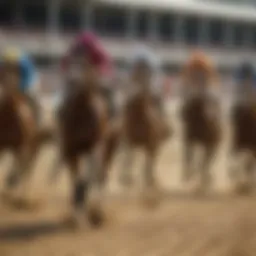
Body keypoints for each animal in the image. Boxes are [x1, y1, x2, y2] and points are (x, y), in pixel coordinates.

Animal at [180, 52, 222, 192]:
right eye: (192, 73)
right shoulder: (189, 137)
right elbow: (188, 156)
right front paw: (187, 175)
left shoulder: (209, 141)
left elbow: (203, 163)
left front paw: (204, 180)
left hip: (212, 143)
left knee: (205, 161)